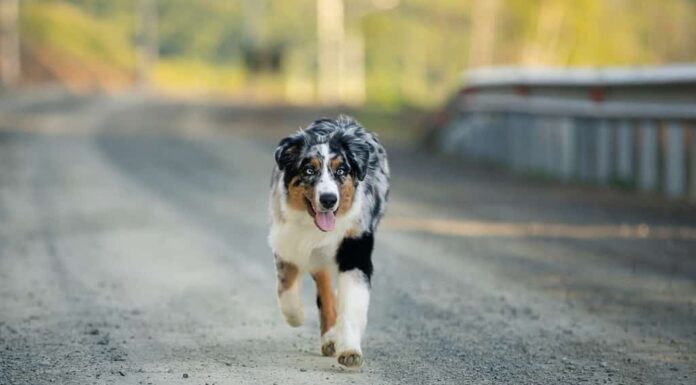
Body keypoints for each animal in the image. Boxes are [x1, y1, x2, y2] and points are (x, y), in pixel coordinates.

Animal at [266, 116, 388, 366]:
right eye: (309, 170)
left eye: (341, 170)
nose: (329, 199)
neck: (313, 228)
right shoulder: (285, 240)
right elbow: (286, 285)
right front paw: (296, 315)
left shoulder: (356, 248)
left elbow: (351, 303)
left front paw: (349, 350)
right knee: (324, 289)